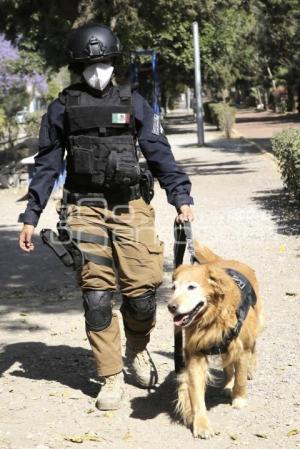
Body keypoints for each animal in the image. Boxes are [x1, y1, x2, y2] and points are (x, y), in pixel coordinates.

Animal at [168, 242, 264, 438]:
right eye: (174, 288)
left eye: (191, 287)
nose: (171, 307)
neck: (212, 318)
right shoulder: (196, 354)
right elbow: (197, 394)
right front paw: (201, 424)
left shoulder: (241, 348)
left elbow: (240, 377)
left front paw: (239, 398)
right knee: (228, 368)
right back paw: (227, 386)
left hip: (252, 330)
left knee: (253, 348)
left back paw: (249, 370)